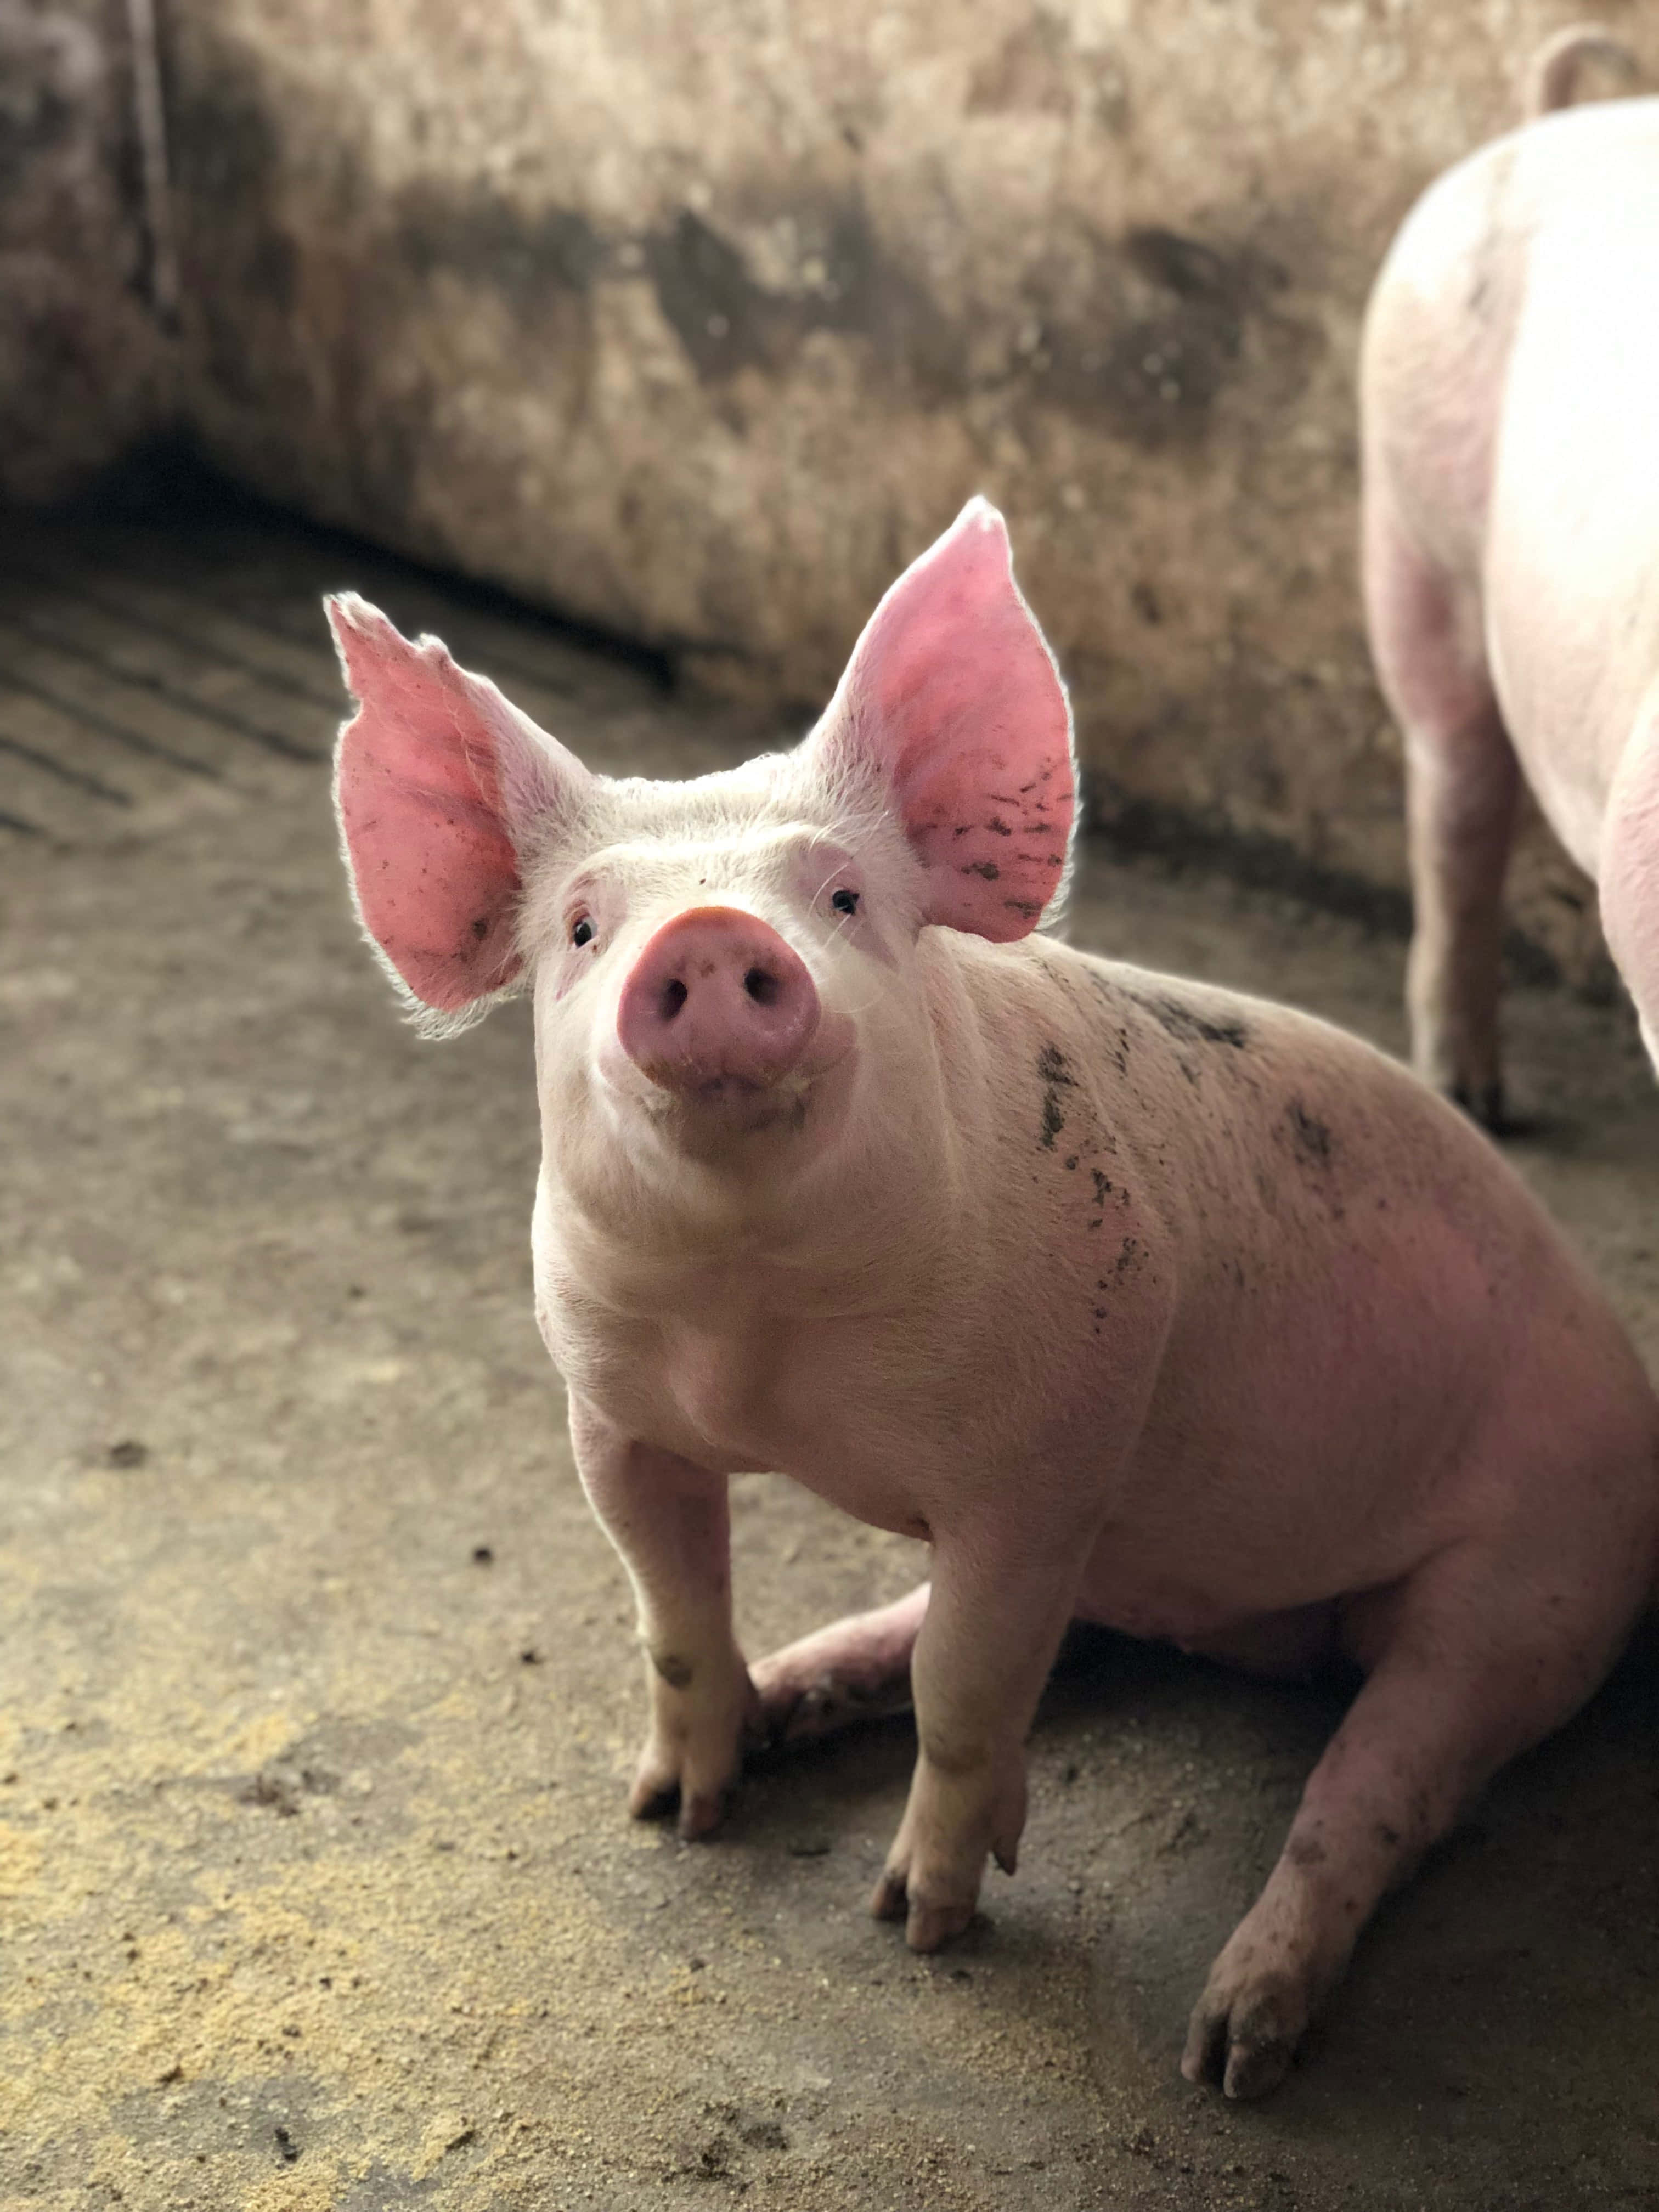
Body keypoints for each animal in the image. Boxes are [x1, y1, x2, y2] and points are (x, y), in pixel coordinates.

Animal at [326, 500, 1659, 2100]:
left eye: (845, 899)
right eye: (583, 929)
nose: (707, 937)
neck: (758, 1328)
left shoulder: (1049, 1450)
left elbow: (965, 1692)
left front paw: (918, 1925)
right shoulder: (610, 1407)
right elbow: (673, 1606)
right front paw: (674, 1813)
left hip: (1539, 1576)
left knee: (1377, 1789)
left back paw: (1232, 2049)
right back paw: (793, 1700)